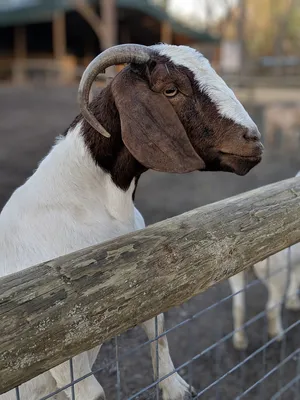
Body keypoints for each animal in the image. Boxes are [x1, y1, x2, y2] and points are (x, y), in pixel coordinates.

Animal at [0, 43, 262, 400]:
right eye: (170, 89)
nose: (254, 140)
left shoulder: (139, 286)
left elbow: (158, 331)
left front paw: (176, 388)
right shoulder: (56, 342)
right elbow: (92, 392)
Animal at [230, 171, 300, 350]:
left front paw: (293, 303)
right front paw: (294, 304)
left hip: (236, 276)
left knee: (238, 307)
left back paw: (240, 342)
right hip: (277, 273)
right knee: (271, 307)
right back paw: (278, 336)